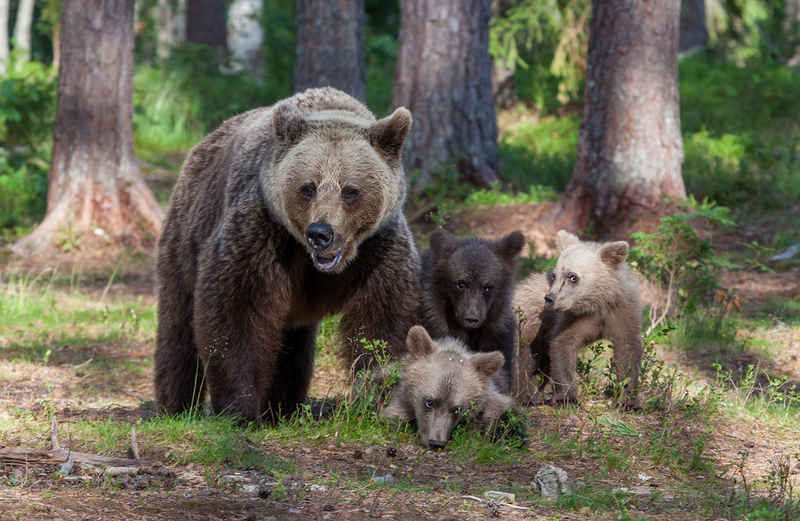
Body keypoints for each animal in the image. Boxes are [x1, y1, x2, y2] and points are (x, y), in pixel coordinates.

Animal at [152, 87, 422, 420]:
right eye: (308, 187)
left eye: (350, 190)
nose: (320, 233)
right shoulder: (261, 234)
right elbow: (236, 310)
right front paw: (239, 407)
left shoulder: (378, 251)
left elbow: (384, 323)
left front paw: (380, 397)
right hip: (188, 232)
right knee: (178, 326)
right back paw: (176, 406)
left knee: (292, 346)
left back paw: (282, 407)